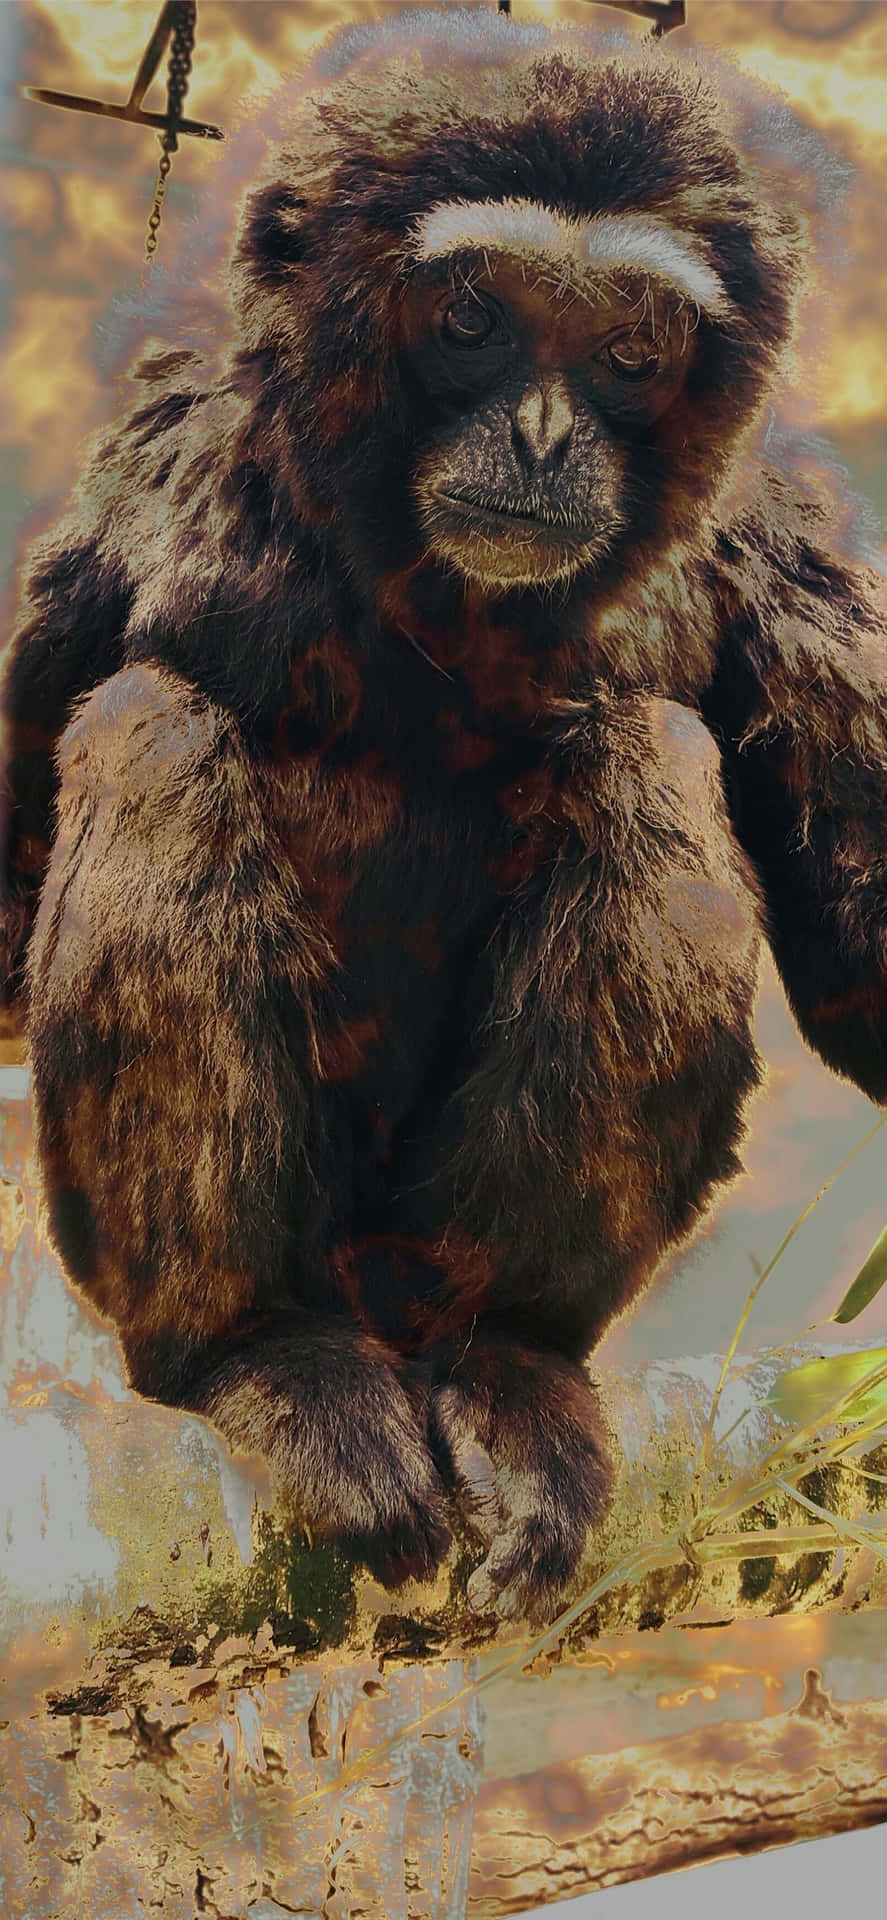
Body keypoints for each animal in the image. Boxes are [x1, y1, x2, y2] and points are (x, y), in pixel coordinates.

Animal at [2, 13, 886, 1621]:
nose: (539, 433)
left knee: (645, 752)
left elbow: (863, 954)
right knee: (151, 727)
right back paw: (258, 1351)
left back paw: (507, 1359)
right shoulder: (159, 450)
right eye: (472, 320)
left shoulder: (776, 525)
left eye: (625, 354)